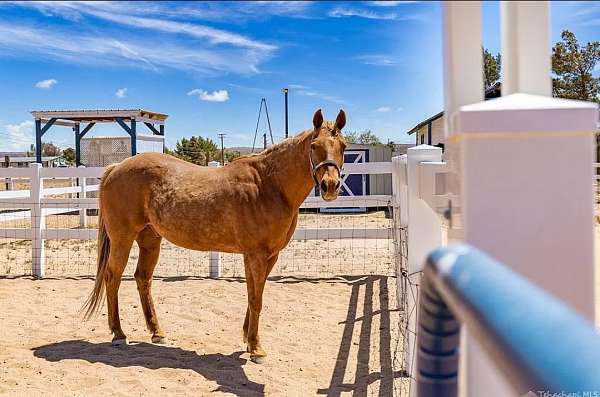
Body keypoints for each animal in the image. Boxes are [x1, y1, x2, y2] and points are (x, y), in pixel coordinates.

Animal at [83, 108, 346, 362]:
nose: (330, 186)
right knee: (112, 277)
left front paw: (247, 339)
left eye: (343, 146)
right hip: (122, 238)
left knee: (142, 279)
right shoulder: (256, 255)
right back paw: (118, 333)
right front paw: (256, 348)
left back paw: (157, 332)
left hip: (150, 240)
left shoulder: (269, 256)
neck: (267, 185)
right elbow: (256, 299)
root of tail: (116, 167)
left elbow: (253, 296)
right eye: (314, 146)